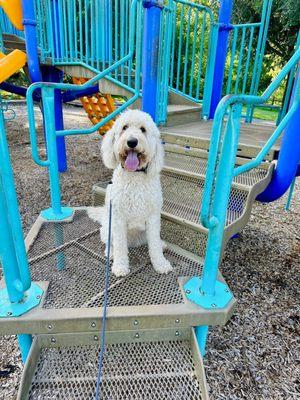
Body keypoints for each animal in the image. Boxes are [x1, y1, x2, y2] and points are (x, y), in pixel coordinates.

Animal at [87, 109, 171, 278]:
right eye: (124, 127)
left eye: (143, 129)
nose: (132, 142)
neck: (135, 175)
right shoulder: (118, 218)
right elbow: (120, 246)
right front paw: (120, 266)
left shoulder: (153, 218)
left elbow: (154, 246)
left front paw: (160, 263)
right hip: (108, 227)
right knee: (109, 243)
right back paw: (111, 253)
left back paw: (162, 244)